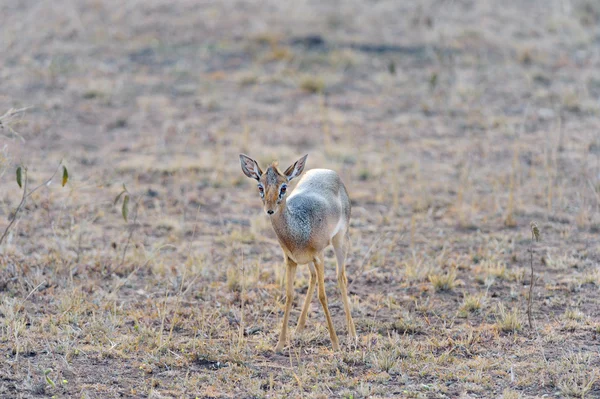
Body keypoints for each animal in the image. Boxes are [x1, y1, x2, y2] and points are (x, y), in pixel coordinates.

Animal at [239, 155, 356, 352]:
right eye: (260, 186)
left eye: (283, 187)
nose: (270, 210)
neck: (299, 227)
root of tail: (328, 171)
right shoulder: (290, 260)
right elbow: (290, 295)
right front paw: (280, 344)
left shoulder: (319, 257)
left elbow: (323, 296)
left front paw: (335, 343)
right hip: (307, 261)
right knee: (313, 278)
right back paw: (299, 328)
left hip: (341, 240)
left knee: (341, 277)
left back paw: (352, 334)